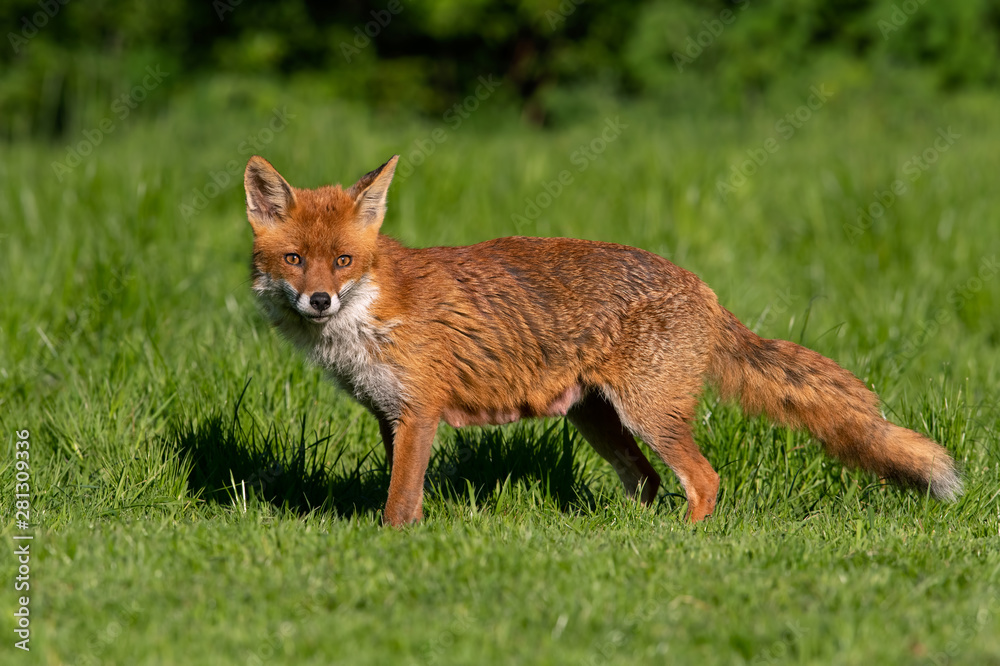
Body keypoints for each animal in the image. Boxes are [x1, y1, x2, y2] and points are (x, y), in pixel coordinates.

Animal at [243, 154, 962, 527]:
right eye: (293, 260)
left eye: (342, 261)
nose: (318, 301)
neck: (370, 315)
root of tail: (704, 289)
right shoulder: (390, 416)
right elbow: (404, 495)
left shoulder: (420, 413)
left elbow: (399, 505)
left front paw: (396, 547)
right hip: (599, 420)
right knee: (648, 483)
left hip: (648, 415)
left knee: (705, 480)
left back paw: (683, 543)